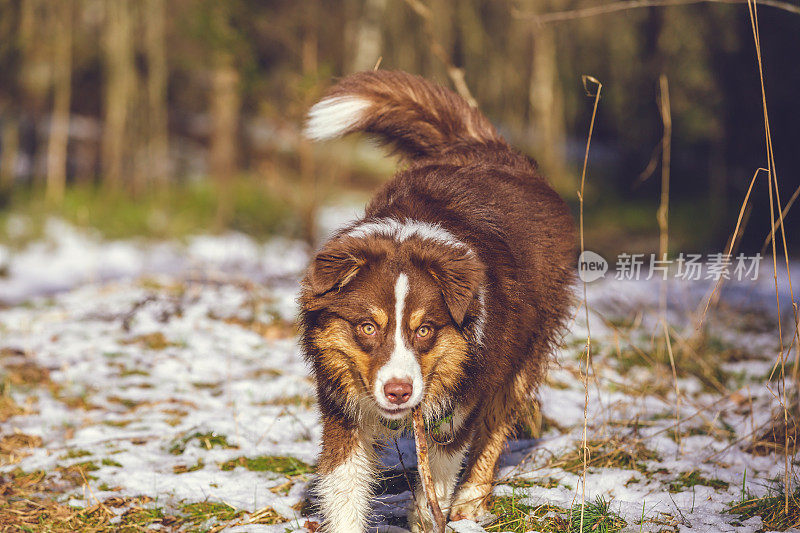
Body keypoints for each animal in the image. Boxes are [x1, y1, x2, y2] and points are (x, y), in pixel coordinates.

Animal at [300, 71, 576, 532]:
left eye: (425, 329)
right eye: (367, 327)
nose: (398, 392)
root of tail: (493, 150)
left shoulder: (462, 398)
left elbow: (444, 468)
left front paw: (429, 513)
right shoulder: (342, 405)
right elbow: (345, 487)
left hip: (524, 351)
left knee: (498, 424)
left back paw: (471, 500)